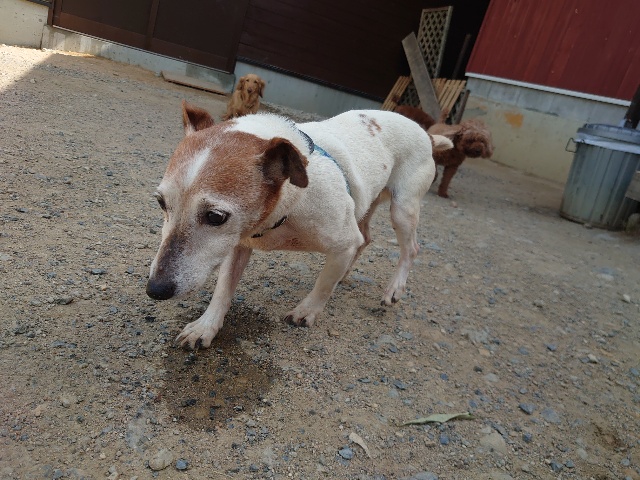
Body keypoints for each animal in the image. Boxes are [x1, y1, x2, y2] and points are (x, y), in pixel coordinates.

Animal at [146, 102, 453, 349]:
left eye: (215, 217)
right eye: (161, 202)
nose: (155, 290)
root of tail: (425, 133)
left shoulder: (342, 242)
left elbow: (323, 285)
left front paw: (307, 311)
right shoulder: (238, 244)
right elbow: (223, 290)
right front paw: (205, 326)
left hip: (402, 208)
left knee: (410, 248)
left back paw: (394, 289)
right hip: (365, 204)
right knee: (365, 238)